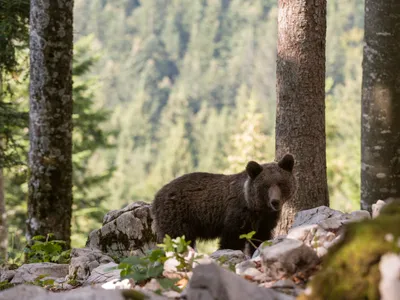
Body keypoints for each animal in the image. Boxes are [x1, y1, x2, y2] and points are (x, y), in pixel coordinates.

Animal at [152, 155, 296, 255]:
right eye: (266, 186)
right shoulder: (238, 216)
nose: (275, 201)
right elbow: (231, 241)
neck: (256, 207)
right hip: (177, 216)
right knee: (175, 239)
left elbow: (260, 239)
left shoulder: (264, 222)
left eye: (281, 183)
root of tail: (156, 196)